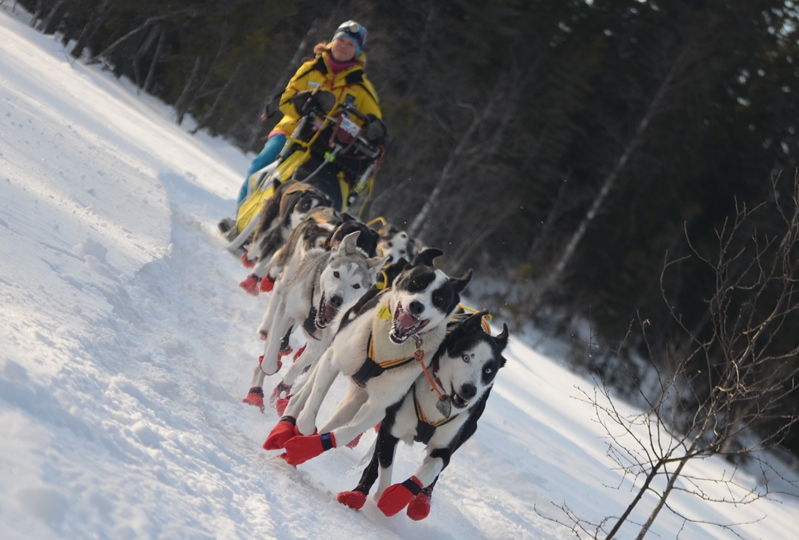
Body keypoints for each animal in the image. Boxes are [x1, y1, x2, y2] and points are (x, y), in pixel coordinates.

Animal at [242, 230, 384, 410]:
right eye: (337, 274)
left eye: (356, 285)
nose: (336, 299)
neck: (316, 310)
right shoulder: (286, 312)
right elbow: (269, 360)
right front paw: (267, 373)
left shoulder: (322, 345)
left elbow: (297, 369)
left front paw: (282, 391)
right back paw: (256, 390)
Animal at [262, 248, 472, 467]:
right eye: (415, 282)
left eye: (439, 298)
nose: (416, 306)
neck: (388, 345)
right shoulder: (333, 360)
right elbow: (310, 408)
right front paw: (300, 429)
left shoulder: (381, 406)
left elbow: (346, 432)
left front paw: (306, 446)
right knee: (305, 390)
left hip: (358, 395)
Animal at [336, 310, 508, 519]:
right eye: (466, 357)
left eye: (488, 370)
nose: (469, 390)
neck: (440, 396)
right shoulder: (390, 431)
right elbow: (382, 465)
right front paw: (376, 494)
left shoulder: (444, 448)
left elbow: (431, 470)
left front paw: (400, 496)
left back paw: (423, 501)